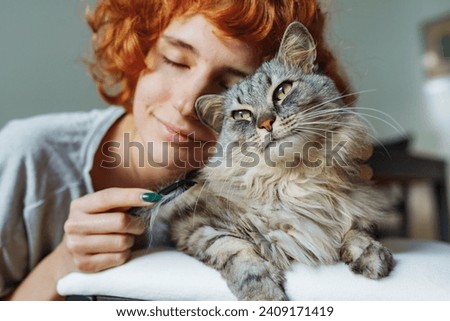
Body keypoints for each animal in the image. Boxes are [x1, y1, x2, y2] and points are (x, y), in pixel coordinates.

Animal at [142, 21, 392, 298]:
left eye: (282, 91)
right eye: (241, 115)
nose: (266, 123)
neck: (293, 178)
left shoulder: (359, 207)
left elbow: (356, 229)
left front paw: (370, 255)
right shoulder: (195, 226)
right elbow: (237, 252)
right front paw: (263, 293)